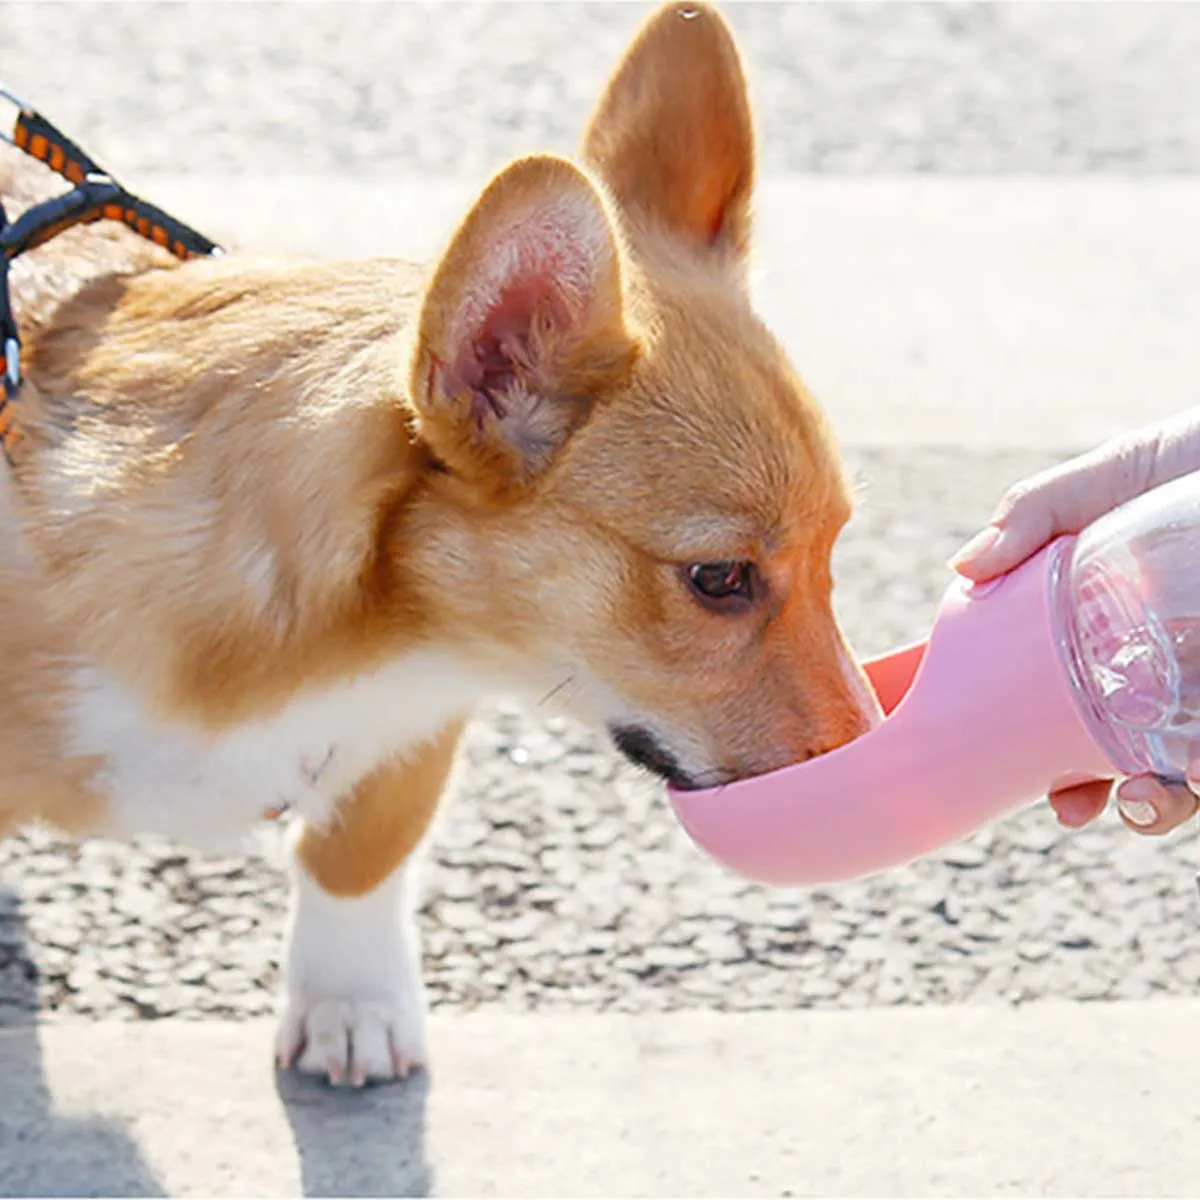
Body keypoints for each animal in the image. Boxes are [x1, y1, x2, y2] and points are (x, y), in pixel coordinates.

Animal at [2, 2, 883, 1089]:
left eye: (836, 553)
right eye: (718, 579)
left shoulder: (412, 724)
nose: (878, 783)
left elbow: (360, 856)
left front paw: (351, 1005)